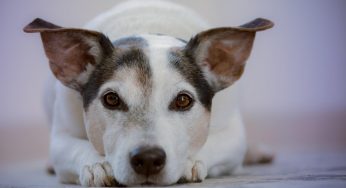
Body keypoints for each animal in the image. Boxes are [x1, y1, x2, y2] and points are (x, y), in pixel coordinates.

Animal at [23, 0, 274, 187]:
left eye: (183, 100)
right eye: (111, 99)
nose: (148, 159)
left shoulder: (233, 135)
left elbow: (214, 143)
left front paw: (188, 162)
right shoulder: (61, 137)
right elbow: (75, 147)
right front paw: (97, 164)